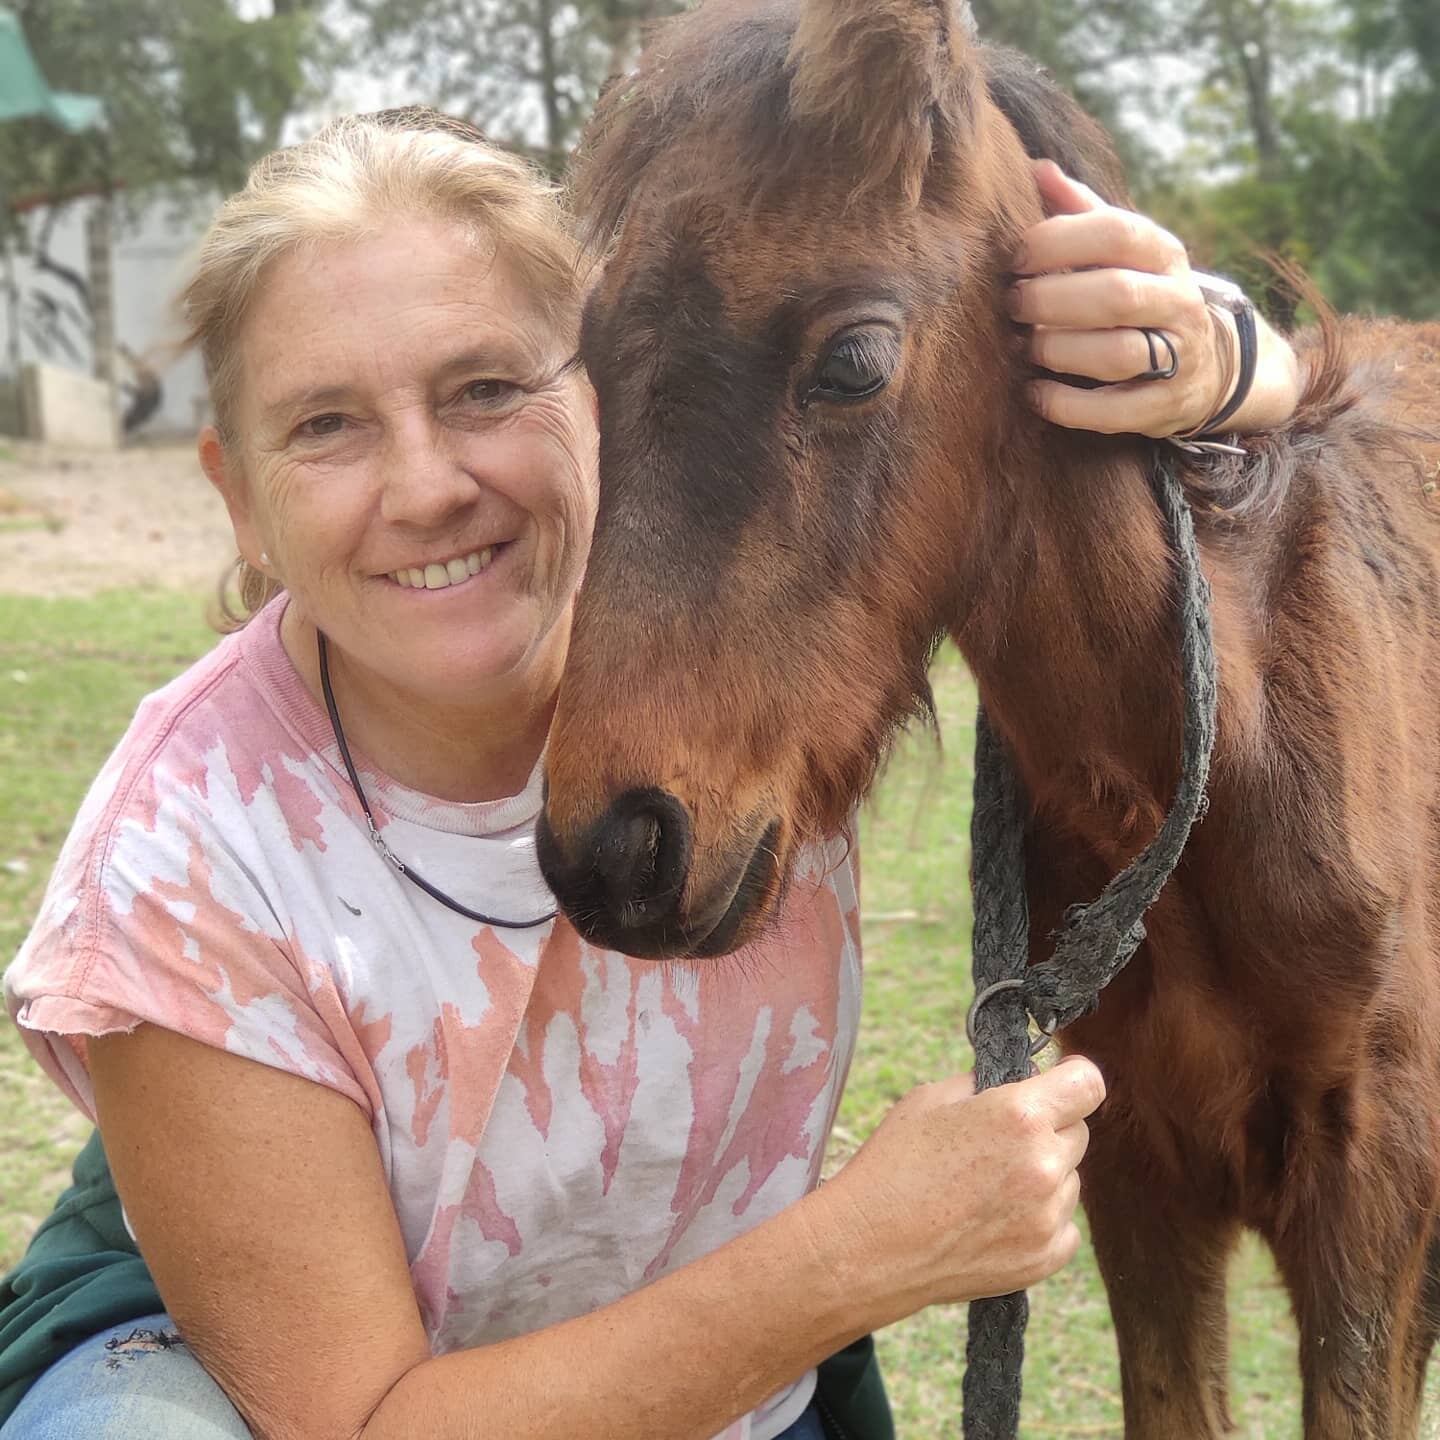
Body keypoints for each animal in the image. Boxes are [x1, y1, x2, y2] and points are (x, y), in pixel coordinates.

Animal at [535, 0, 1440, 1428]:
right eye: (596, 362)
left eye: (854, 359)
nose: (617, 849)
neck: (1228, 757)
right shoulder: (1140, 1174)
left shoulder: (1371, 1211)